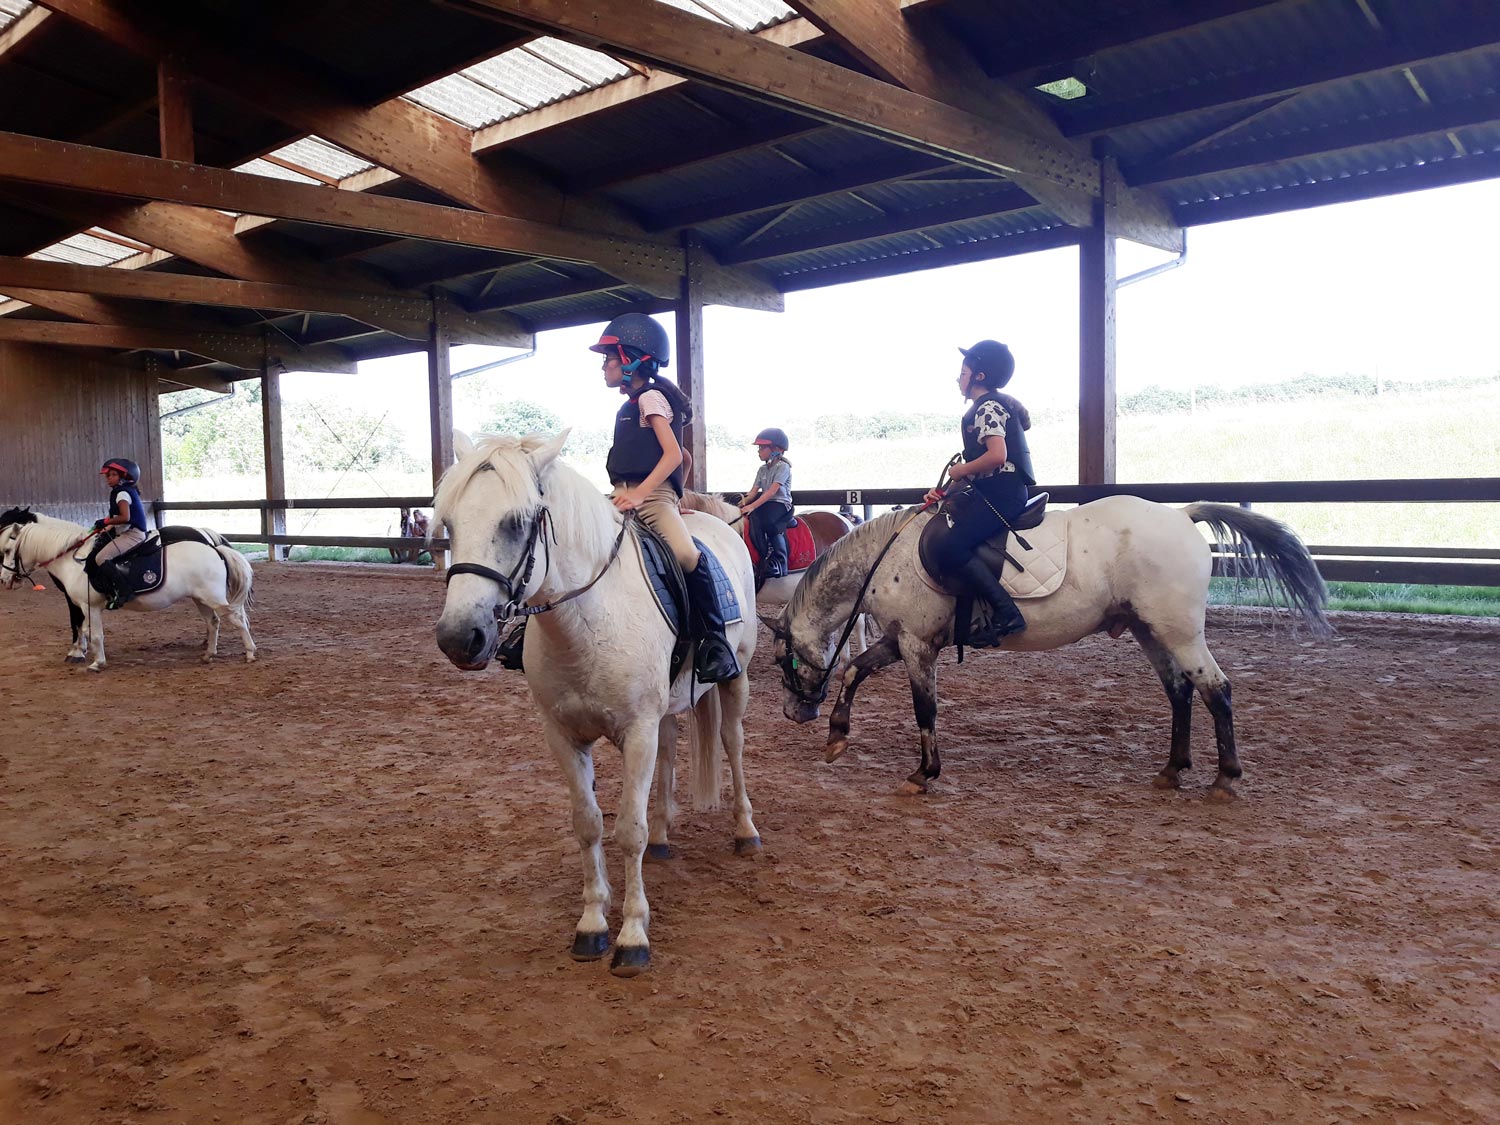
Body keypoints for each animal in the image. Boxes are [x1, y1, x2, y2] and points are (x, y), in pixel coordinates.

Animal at [0, 510, 255, 675]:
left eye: (8, 549)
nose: (4, 580)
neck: (72, 558)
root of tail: (214, 548)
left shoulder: (87, 605)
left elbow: (93, 633)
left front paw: (94, 662)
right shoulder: (82, 605)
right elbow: (85, 629)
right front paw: (84, 654)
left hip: (213, 598)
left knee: (237, 618)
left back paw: (250, 653)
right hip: (200, 598)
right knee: (213, 622)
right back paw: (209, 654)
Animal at [435, 432, 762, 978]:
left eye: (517, 522)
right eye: (450, 523)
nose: (459, 638)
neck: (586, 622)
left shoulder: (636, 733)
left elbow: (628, 829)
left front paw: (632, 936)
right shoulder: (564, 736)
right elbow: (588, 824)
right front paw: (591, 925)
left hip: (735, 681)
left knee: (732, 745)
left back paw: (745, 831)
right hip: (665, 710)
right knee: (671, 752)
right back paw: (665, 838)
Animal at [768, 498, 1332, 798]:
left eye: (781, 662)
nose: (795, 713)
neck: (887, 556)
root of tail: (1181, 515)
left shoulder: (917, 645)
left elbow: (924, 709)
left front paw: (924, 773)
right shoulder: (897, 638)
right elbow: (854, 671)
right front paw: (837, 736)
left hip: (1178, 631)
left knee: (1216, 690)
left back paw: (1225, 778)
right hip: (1149, 629)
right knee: (1180, 691)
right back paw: (1173, 769)